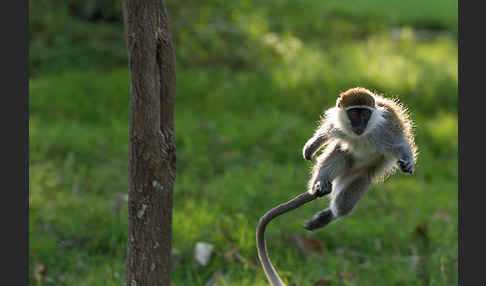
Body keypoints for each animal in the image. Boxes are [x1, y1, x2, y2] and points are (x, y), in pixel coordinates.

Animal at [300, 86, 418, 230]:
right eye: (354, 113)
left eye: (365, 114)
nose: (360, 125)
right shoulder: (339, 125)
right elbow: (328, 130)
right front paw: (312, 145)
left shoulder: (384, 131)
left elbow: (400, 145)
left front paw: (408, 163)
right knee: (338, 153)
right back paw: (321, 183)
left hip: (362, 174)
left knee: (346, 202)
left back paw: (331, 215)